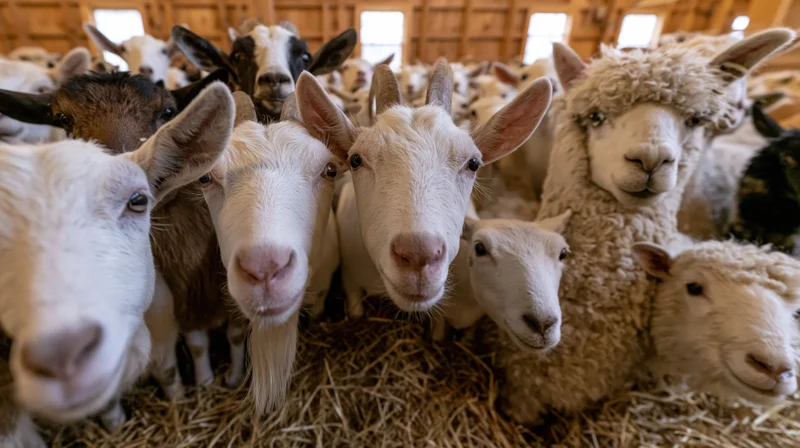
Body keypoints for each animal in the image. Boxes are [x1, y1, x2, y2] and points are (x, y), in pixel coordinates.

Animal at [0, 82, 233, 440]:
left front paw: (179, 402)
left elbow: (169, 372)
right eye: (62, 118)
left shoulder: (165, 328)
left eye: (138, 200)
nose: (60, 355)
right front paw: (115, 425)